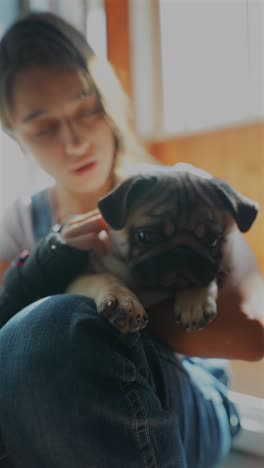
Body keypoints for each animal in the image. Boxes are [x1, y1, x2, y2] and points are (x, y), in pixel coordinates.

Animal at [66, 165, 258, 332]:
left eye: (212, 240)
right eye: (146, 236)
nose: (182, 252)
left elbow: (204, 277)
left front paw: (194, 298)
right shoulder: (80, 278)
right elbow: (105, 278)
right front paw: (124, 301)